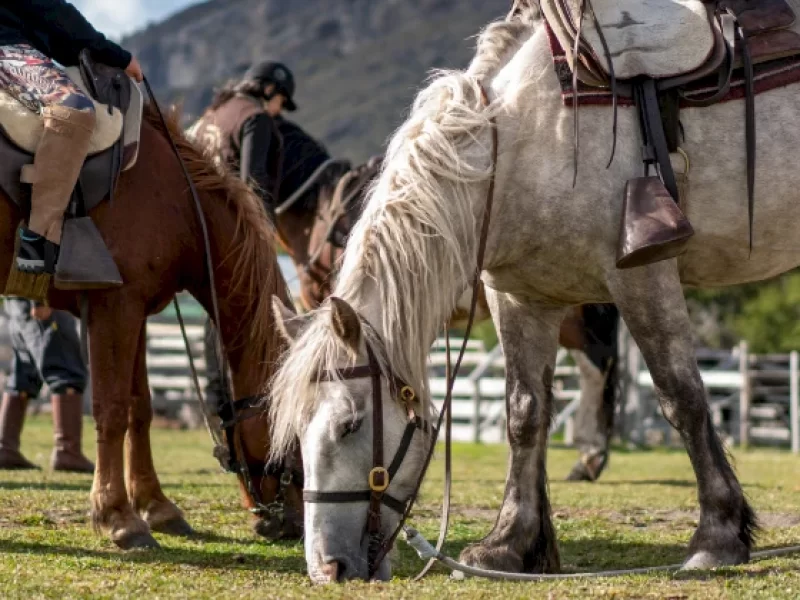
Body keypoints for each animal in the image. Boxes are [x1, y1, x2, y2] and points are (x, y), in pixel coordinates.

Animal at [0, 106, 300, 548]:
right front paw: (118, 516)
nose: (293, 523)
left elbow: (139, 409)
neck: (181, 206)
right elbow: (111, 410)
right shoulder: (114, 306)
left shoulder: (136, 313)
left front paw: (156, 506)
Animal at [262, 7, 800, 580]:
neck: (523, 141)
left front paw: (717, 536)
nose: (328, 567)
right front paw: (509, 544)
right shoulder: (521, 296)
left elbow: (682, 396)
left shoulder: (641, 277)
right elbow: (524, 412)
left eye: (350, 424)